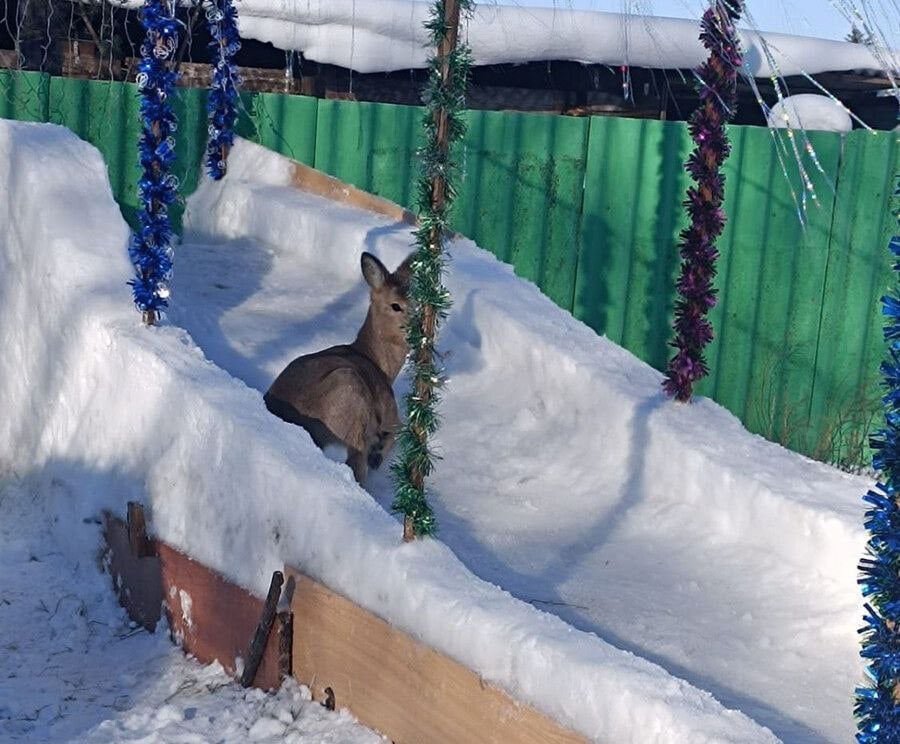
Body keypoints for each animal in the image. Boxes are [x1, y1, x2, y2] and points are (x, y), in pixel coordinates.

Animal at [262, 253, 414, 486]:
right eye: (396, 305)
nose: (421, 331)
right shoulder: (390, 413)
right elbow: (400, 430)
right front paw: (378, 452)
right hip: (350, 392)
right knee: (358, 466)